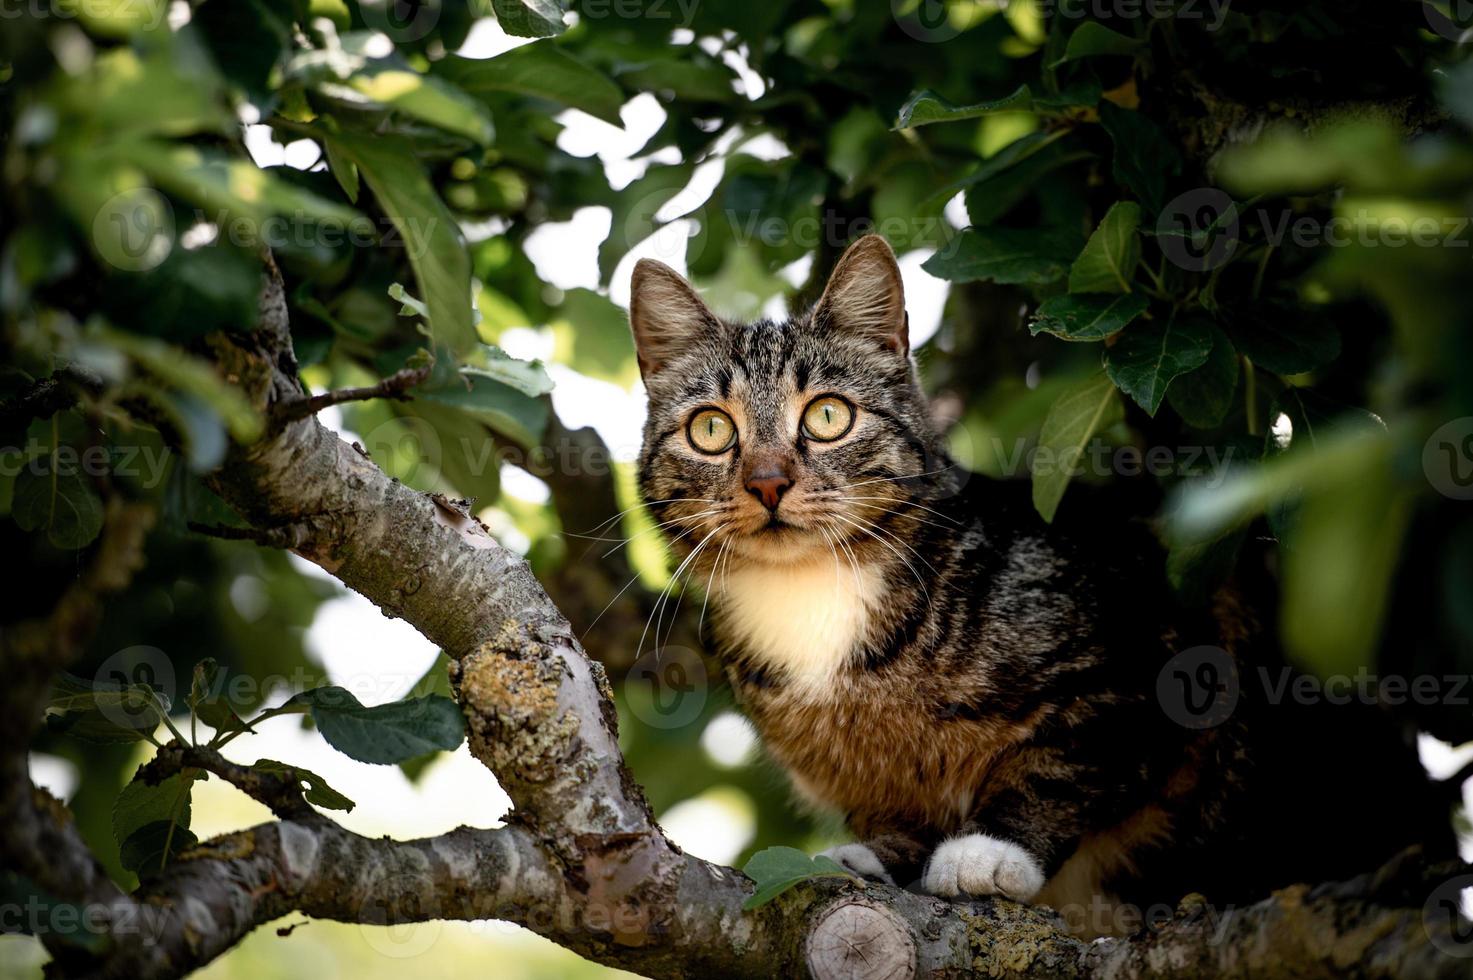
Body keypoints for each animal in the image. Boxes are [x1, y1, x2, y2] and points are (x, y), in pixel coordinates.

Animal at [624, 232, 1449, 931]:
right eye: (711, 430)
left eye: (827, 416)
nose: (766, 481)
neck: (815, 599)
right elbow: (891, 816)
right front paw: (882, 856)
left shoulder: (1146, 656)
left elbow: (1061, 762)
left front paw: (991, 849)